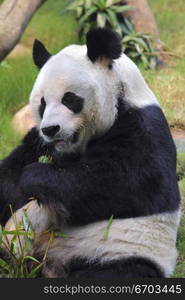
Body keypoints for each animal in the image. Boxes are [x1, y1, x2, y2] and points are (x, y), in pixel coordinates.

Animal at [0, 28, 180, 278]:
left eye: (69, 99)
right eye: (43, 103)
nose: (50, 129)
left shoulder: (143, 130)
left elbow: (120, 186)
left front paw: (34, 176)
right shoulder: (38, 143)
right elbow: (10, 175)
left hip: (117, 251)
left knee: (118, 273)